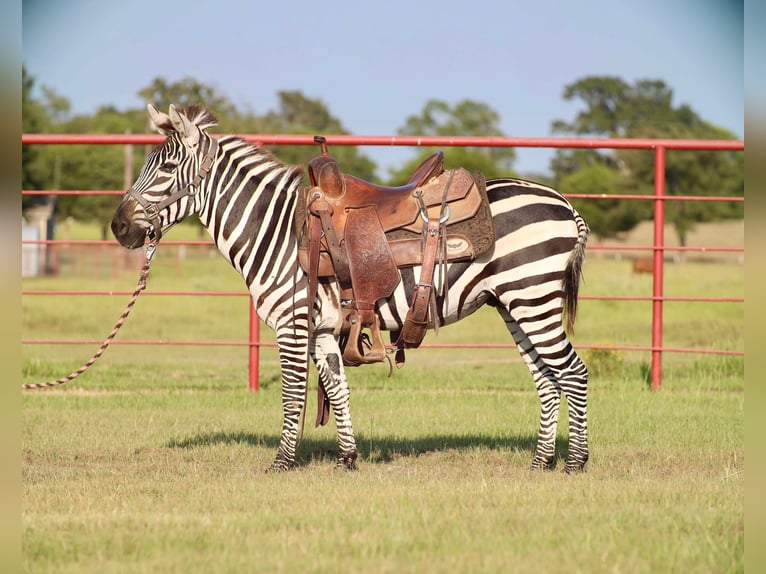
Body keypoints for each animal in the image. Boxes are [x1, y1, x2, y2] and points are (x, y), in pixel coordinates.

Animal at [111, 106, 592, 474]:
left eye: (167, 168)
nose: (117, 227)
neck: (276, 232)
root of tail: (565, 204)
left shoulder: (292, 325)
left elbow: (292, 394)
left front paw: (282, 463)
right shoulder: (323, 328)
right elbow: (336, 386)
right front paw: (347, 458)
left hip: (531, 298)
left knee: (572, 372)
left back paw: (574, 463)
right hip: (512, 304)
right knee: (546, 379)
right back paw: (540, 463)